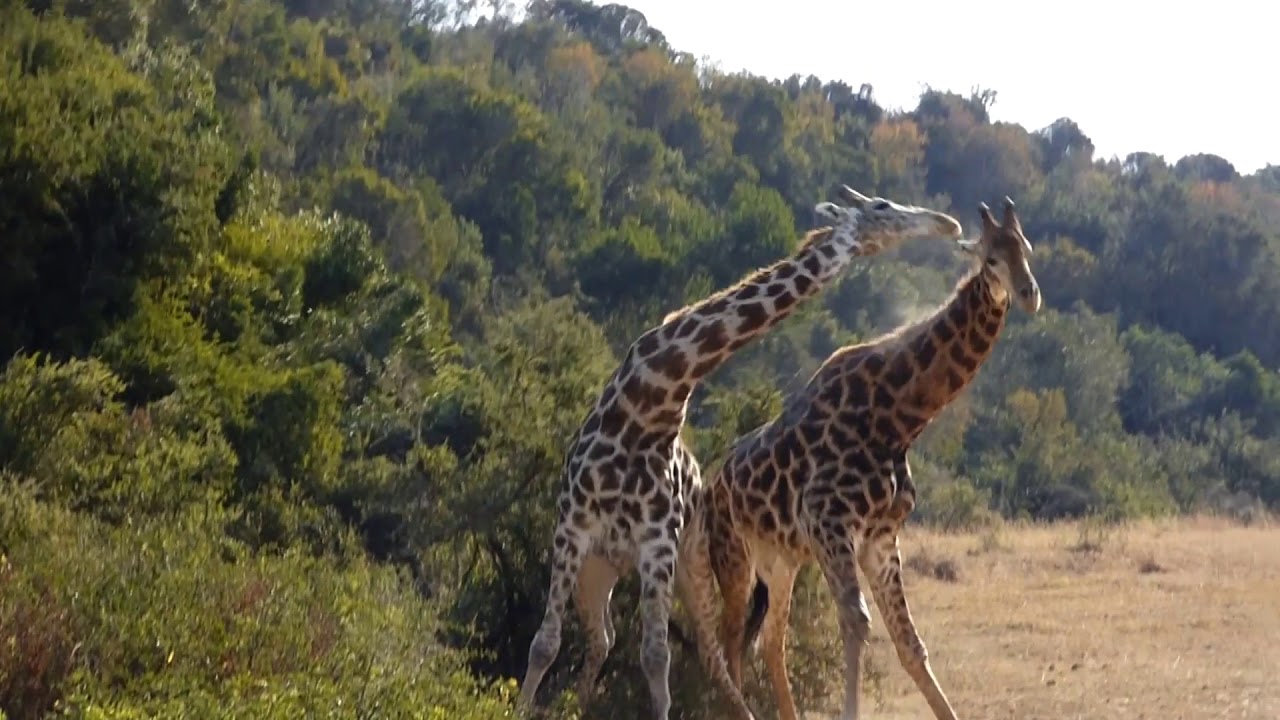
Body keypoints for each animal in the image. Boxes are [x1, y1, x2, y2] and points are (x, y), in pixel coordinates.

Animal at [516, 186, 965, 720]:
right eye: (881, 207)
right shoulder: (571, 524)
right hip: (599, 566)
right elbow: (544, 643)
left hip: (683, 563)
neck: (649, 402)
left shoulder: (657, 541)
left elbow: (655, 657)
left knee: (703, 650)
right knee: (602, 638)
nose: (947, 224)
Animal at [700, 197, 1040, 720]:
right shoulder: (829, 523)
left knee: (771, 639)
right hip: (733, 554)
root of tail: (715, 482)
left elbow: (910, 644)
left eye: (1026, 248)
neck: (897, 418)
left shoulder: (880, 536)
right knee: (731, 636)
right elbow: (856, 624)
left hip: (780, 559)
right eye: (990, 259)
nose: (1028, 294)